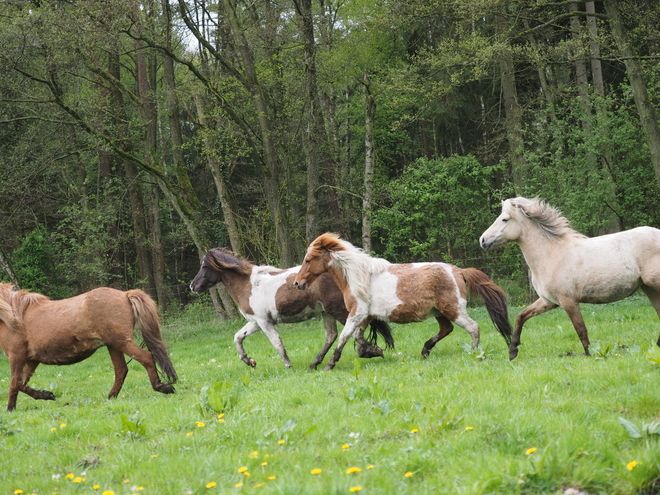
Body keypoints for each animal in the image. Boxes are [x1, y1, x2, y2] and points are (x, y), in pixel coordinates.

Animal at [0, 284, 178, 412]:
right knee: (121, 370)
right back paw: (111, 397)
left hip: (122, 342)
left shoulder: (17, 357)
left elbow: (14, 383)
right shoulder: (32, 360)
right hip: (113, 345)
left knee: (146, 358)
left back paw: (163, 387)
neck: (14, 316)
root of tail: (125, 294)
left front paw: (10, 409)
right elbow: (21, 383)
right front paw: (45, 395)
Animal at [188, 250, 394, 370]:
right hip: (326, 312)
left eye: (204, 265)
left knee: (355, 327)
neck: (249, 285)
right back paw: (315, 363)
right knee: (332, 335)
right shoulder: (255, 321)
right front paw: (250, 361)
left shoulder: (263, 322)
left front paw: (288, 365)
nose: (193, 286)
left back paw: (367, 351)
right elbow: (238, 337)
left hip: (337, 309)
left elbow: (276, 342)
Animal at [294, 234, 516, 370]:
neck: (358, 276)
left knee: (473, 327)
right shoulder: (365, 316)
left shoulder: (357, 314)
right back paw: (425, 350)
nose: (298, 283)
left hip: (453, 309)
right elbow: (357, 338)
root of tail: (459, 271)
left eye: (308, 260)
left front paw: (329, 364)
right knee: (447, 329)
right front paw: (372, 351)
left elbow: (343, 338)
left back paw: (474, 352)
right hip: (439, 312)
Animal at [476, 197, 660, 360]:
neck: (552, 254)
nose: (482, 240)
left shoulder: (568, 301)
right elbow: (521, 316)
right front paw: (513, 351)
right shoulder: (548, 301)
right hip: (648, 288)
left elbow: (581, 329)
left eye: (505, 219)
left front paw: (589, 355)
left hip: (653, 284)